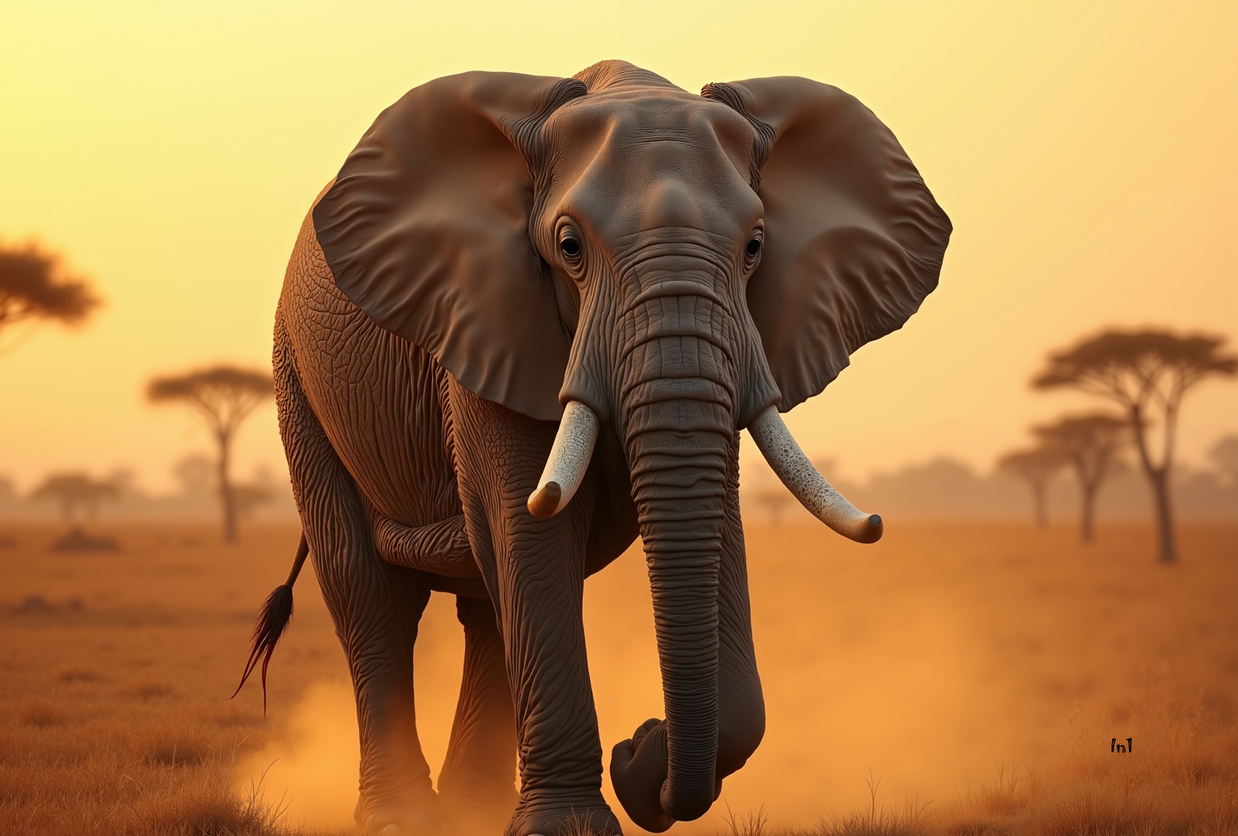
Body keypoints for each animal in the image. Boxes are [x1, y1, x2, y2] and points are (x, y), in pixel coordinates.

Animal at [235, 60, 950, 836]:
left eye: (756, 247)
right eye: (569, 247)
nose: (638, 751)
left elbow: (711, 530)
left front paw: (636, 768)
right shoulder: (487, 322)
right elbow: (528, 530)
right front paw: (578, 819)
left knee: (485, 606)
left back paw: (472, 811)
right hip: (297, 378)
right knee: (371, 593)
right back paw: (406, 819)